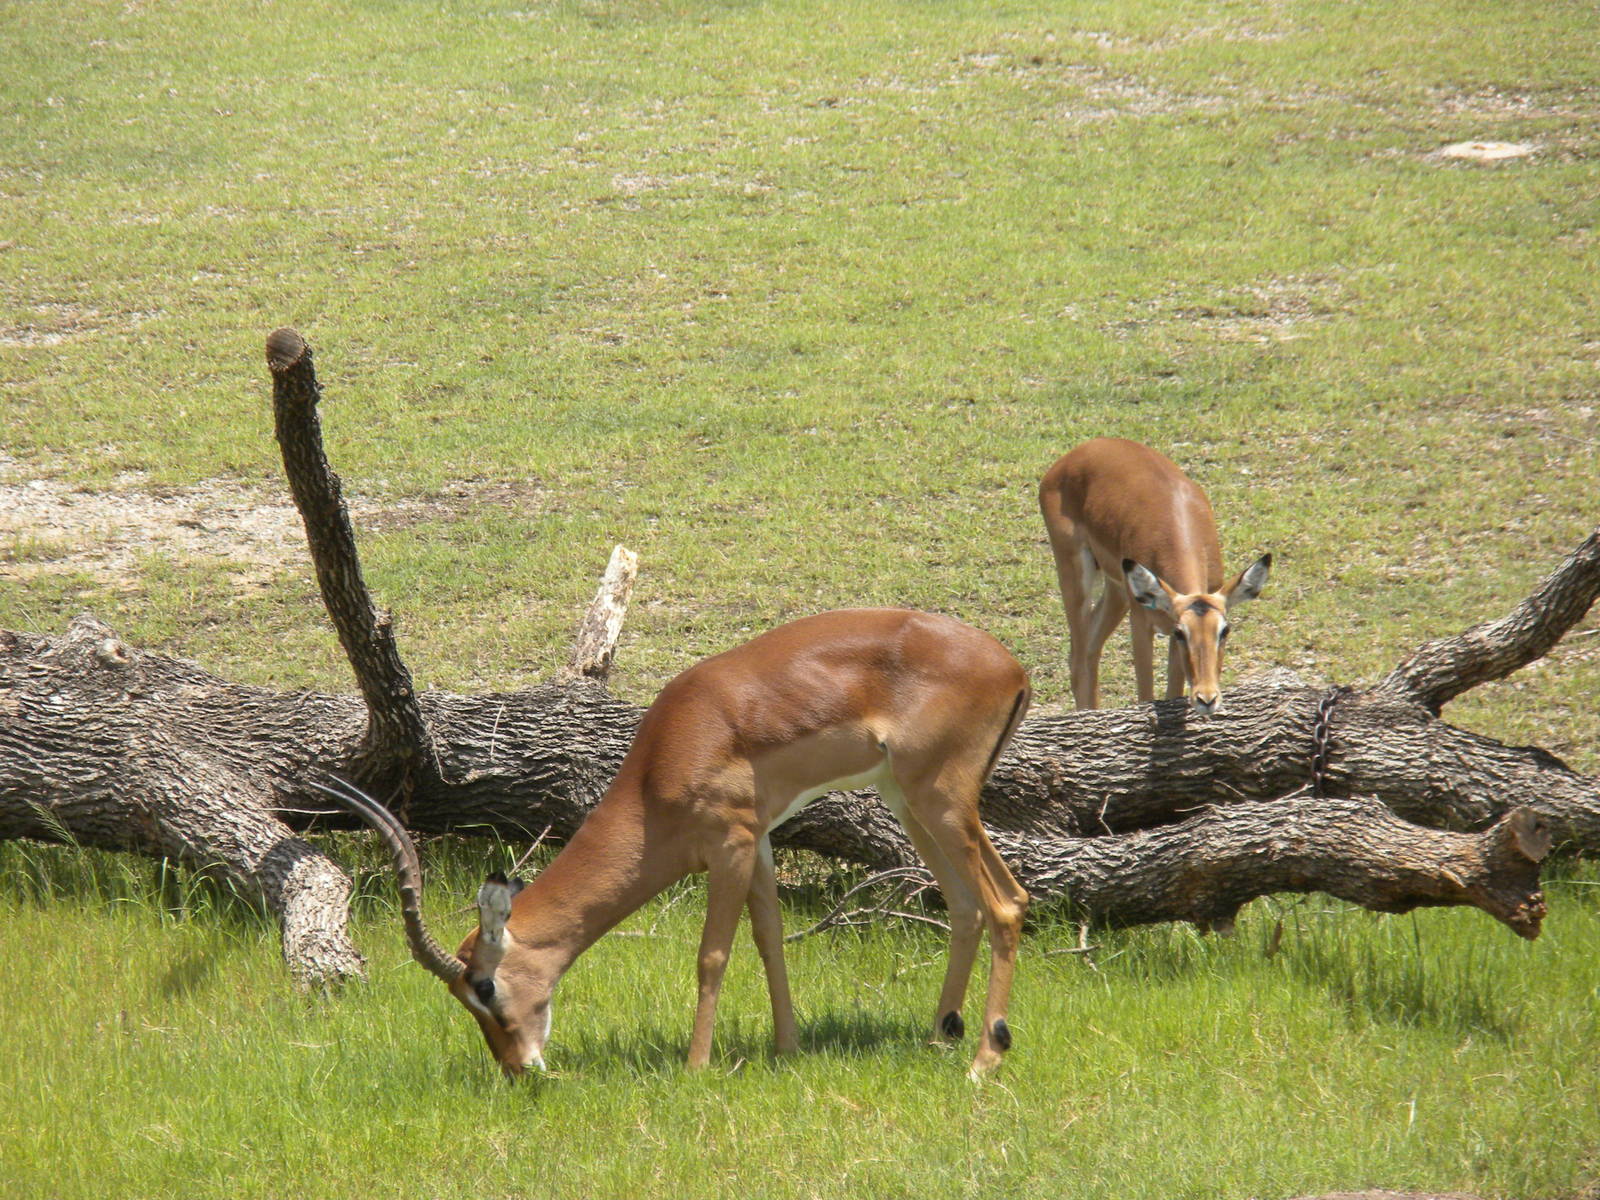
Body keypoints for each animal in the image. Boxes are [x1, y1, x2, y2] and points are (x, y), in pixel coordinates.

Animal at [320, 608, 1032, 1079]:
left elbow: (712, 955)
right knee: (967, 906)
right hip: (909, 802)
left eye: (484, 988)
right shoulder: (759, 841)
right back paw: (940, 1040)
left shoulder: (729, 844)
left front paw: (695, 1068)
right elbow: (769, 940)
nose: (520, 1067)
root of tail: (1013, 667)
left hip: (941, 801)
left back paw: (983, 1060)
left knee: (1006, 903)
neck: (665, 759)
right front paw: (787, 1050)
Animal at [1038, 437, 1271, 714]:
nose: (1207, 698)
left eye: (1225, 630)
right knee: (1080, 658)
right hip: (1074, 571)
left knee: (1088, 650)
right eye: (1182, 632)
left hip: (1118, 589)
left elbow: (1173, 692)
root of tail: (1077, 453)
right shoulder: (1143, 621)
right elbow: (1145, 693)